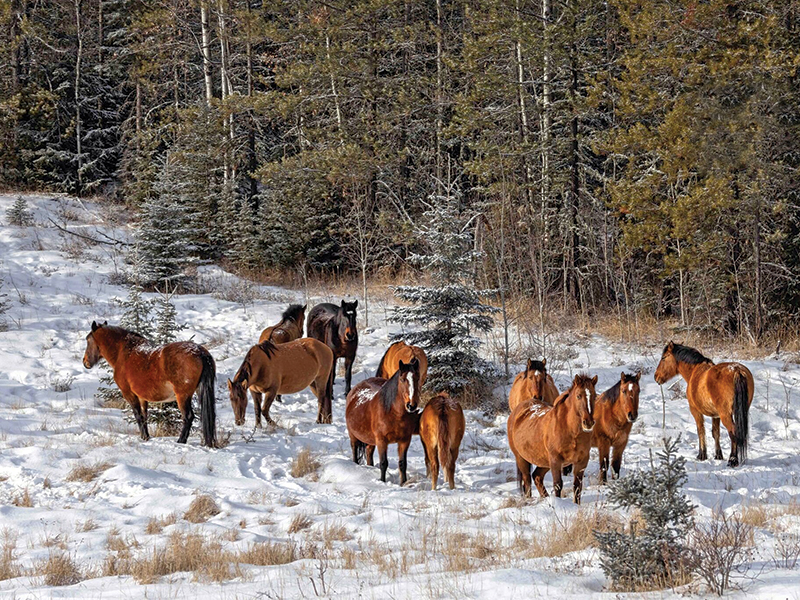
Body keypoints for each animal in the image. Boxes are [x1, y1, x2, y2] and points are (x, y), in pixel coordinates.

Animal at [83, 321, 217, 447]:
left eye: (88, 340)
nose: (85, 362)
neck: (124, 353)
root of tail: (199, 352)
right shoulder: (142, 397)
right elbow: (144, 416)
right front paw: (146, 437)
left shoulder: (129, 394)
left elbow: (138, 416)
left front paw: (144, 437)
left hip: (182, 396)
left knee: (188, 417)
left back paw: (180, 441)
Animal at [507, 374, 597, 503]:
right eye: (578, 395)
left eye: (595, 396)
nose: (588, 423)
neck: (570, 430)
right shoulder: (556, 460)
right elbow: (558, 484)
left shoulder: (582, 461)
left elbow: (577, 486)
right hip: (521, 458)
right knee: (527, 480)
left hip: (544, 461)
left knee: (537, 476)